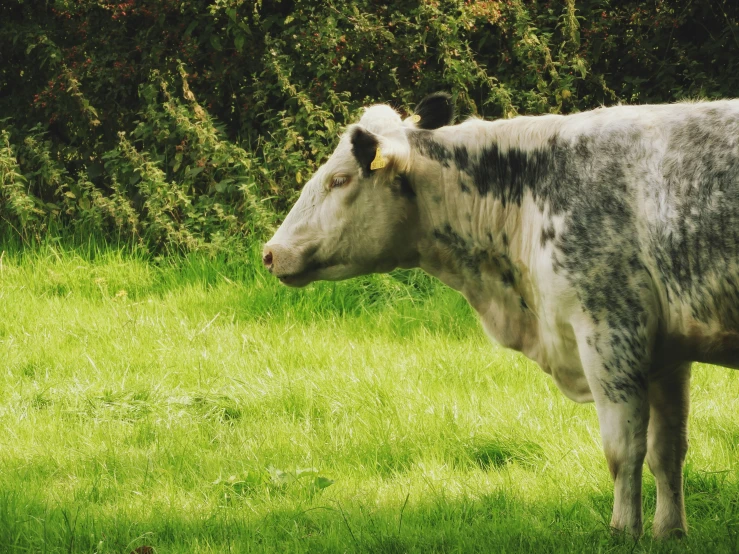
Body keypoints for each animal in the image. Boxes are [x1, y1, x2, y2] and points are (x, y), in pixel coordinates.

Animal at [264, 92, 739, 536]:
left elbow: (623, 452)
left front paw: (624, 532)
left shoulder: (612, 331)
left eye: (339, 179)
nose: (270, 253)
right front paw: (670, 531)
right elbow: (667, 452)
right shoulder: (668, 353)